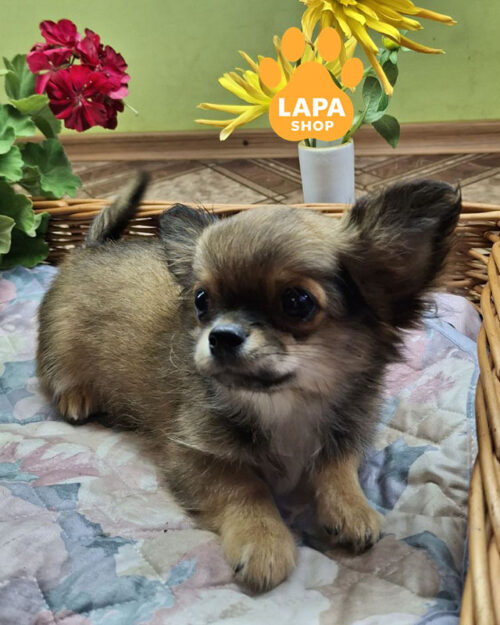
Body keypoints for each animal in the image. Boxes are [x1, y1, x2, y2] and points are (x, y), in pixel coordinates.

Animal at [37, 175, 461, 591]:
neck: (285, 405)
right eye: (201, 300)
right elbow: (244, 487)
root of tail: (92, 247)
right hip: (59, 345)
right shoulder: (192, 452)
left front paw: (352, 508)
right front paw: (263, 541)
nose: (221, 336)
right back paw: (77, 396)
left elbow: (336, 465)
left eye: (297, 302)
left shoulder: (348, 429)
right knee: (55, 375)